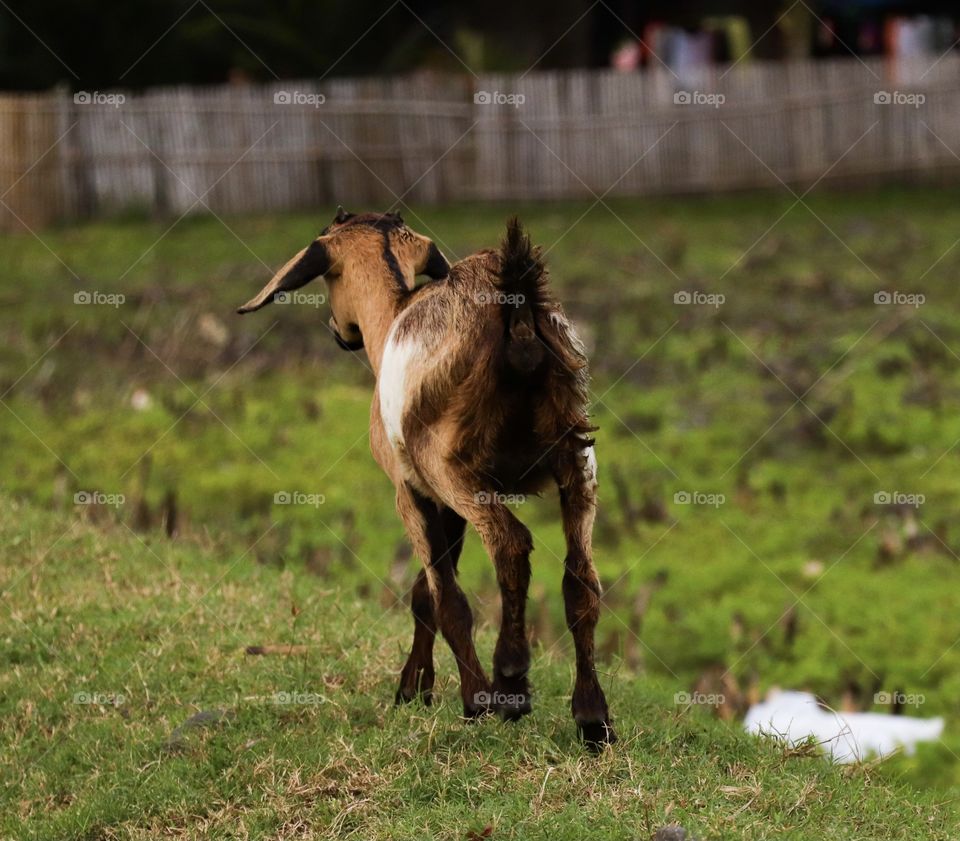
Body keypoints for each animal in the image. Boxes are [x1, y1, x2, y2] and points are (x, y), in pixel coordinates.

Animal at [237, 208, 615, 747]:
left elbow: (446, 598)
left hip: (452, 463)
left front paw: (472, 701)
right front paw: (414, 687)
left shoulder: (411, 489)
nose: (339, 331)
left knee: (510, 545)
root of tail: (518, 311)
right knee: (581, 579)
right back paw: (591, 717)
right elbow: (426, 589)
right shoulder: (443, 503)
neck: (392, 317)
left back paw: (510, 680)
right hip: (576, 460)